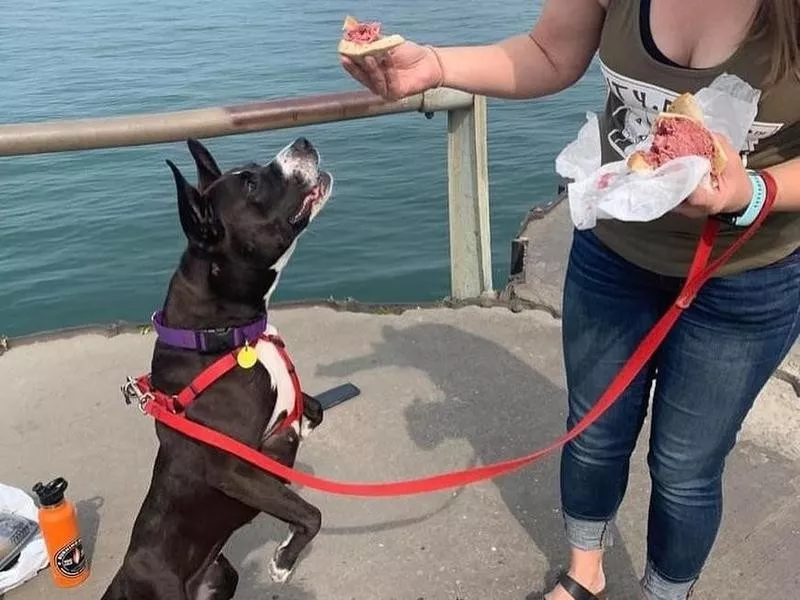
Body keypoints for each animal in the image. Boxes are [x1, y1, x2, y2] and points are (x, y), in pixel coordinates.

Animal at [102, 137, 334, 600]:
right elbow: (310, 513)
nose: (303, 142)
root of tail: (122, 581)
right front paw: (283, 562)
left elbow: (312, 407)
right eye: (251, 184)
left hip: (221, 574)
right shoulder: (236, 469)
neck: (220, 332)